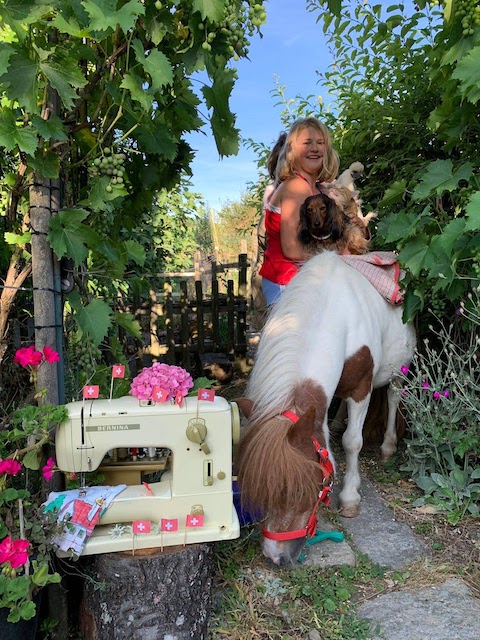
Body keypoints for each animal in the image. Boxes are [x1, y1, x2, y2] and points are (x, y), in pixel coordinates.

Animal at [235, 251, 416, 566]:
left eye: (304, 488)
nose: (275, 556)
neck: (334, 313)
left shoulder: (361, 389)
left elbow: (352, 442)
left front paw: (350, 497)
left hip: (398, 371)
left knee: (394, 397)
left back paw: (388, 446)